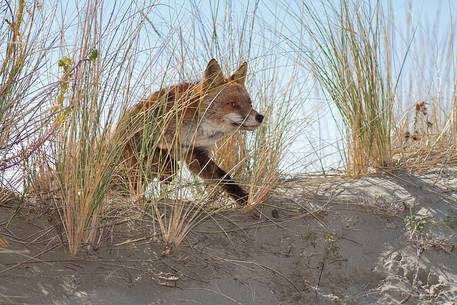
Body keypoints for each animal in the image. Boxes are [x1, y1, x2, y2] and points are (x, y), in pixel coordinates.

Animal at [117, 58, 264, 204]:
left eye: (250, 103)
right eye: (233, 104)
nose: (260, 117)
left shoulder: (196, 153)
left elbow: (224, 178)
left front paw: (245, 200)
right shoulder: (139, 136)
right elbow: (164, 157)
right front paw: (169, 171)